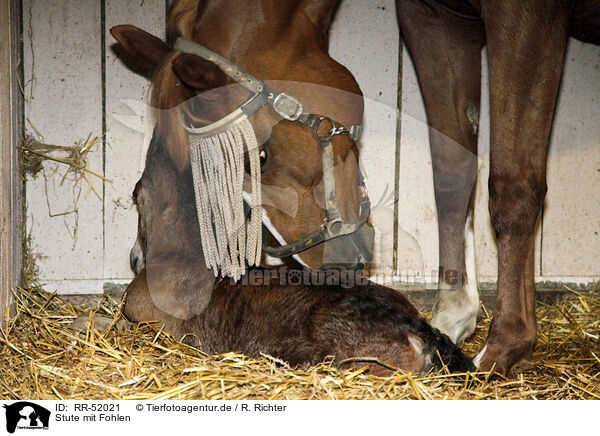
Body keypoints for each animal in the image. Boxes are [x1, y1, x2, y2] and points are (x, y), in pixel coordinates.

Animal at [398, 0, 600, 374]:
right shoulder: (434, 18)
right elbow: (452, 174)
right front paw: (450, 321)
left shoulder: (527, 15)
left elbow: (514, 185)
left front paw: (503, 344)